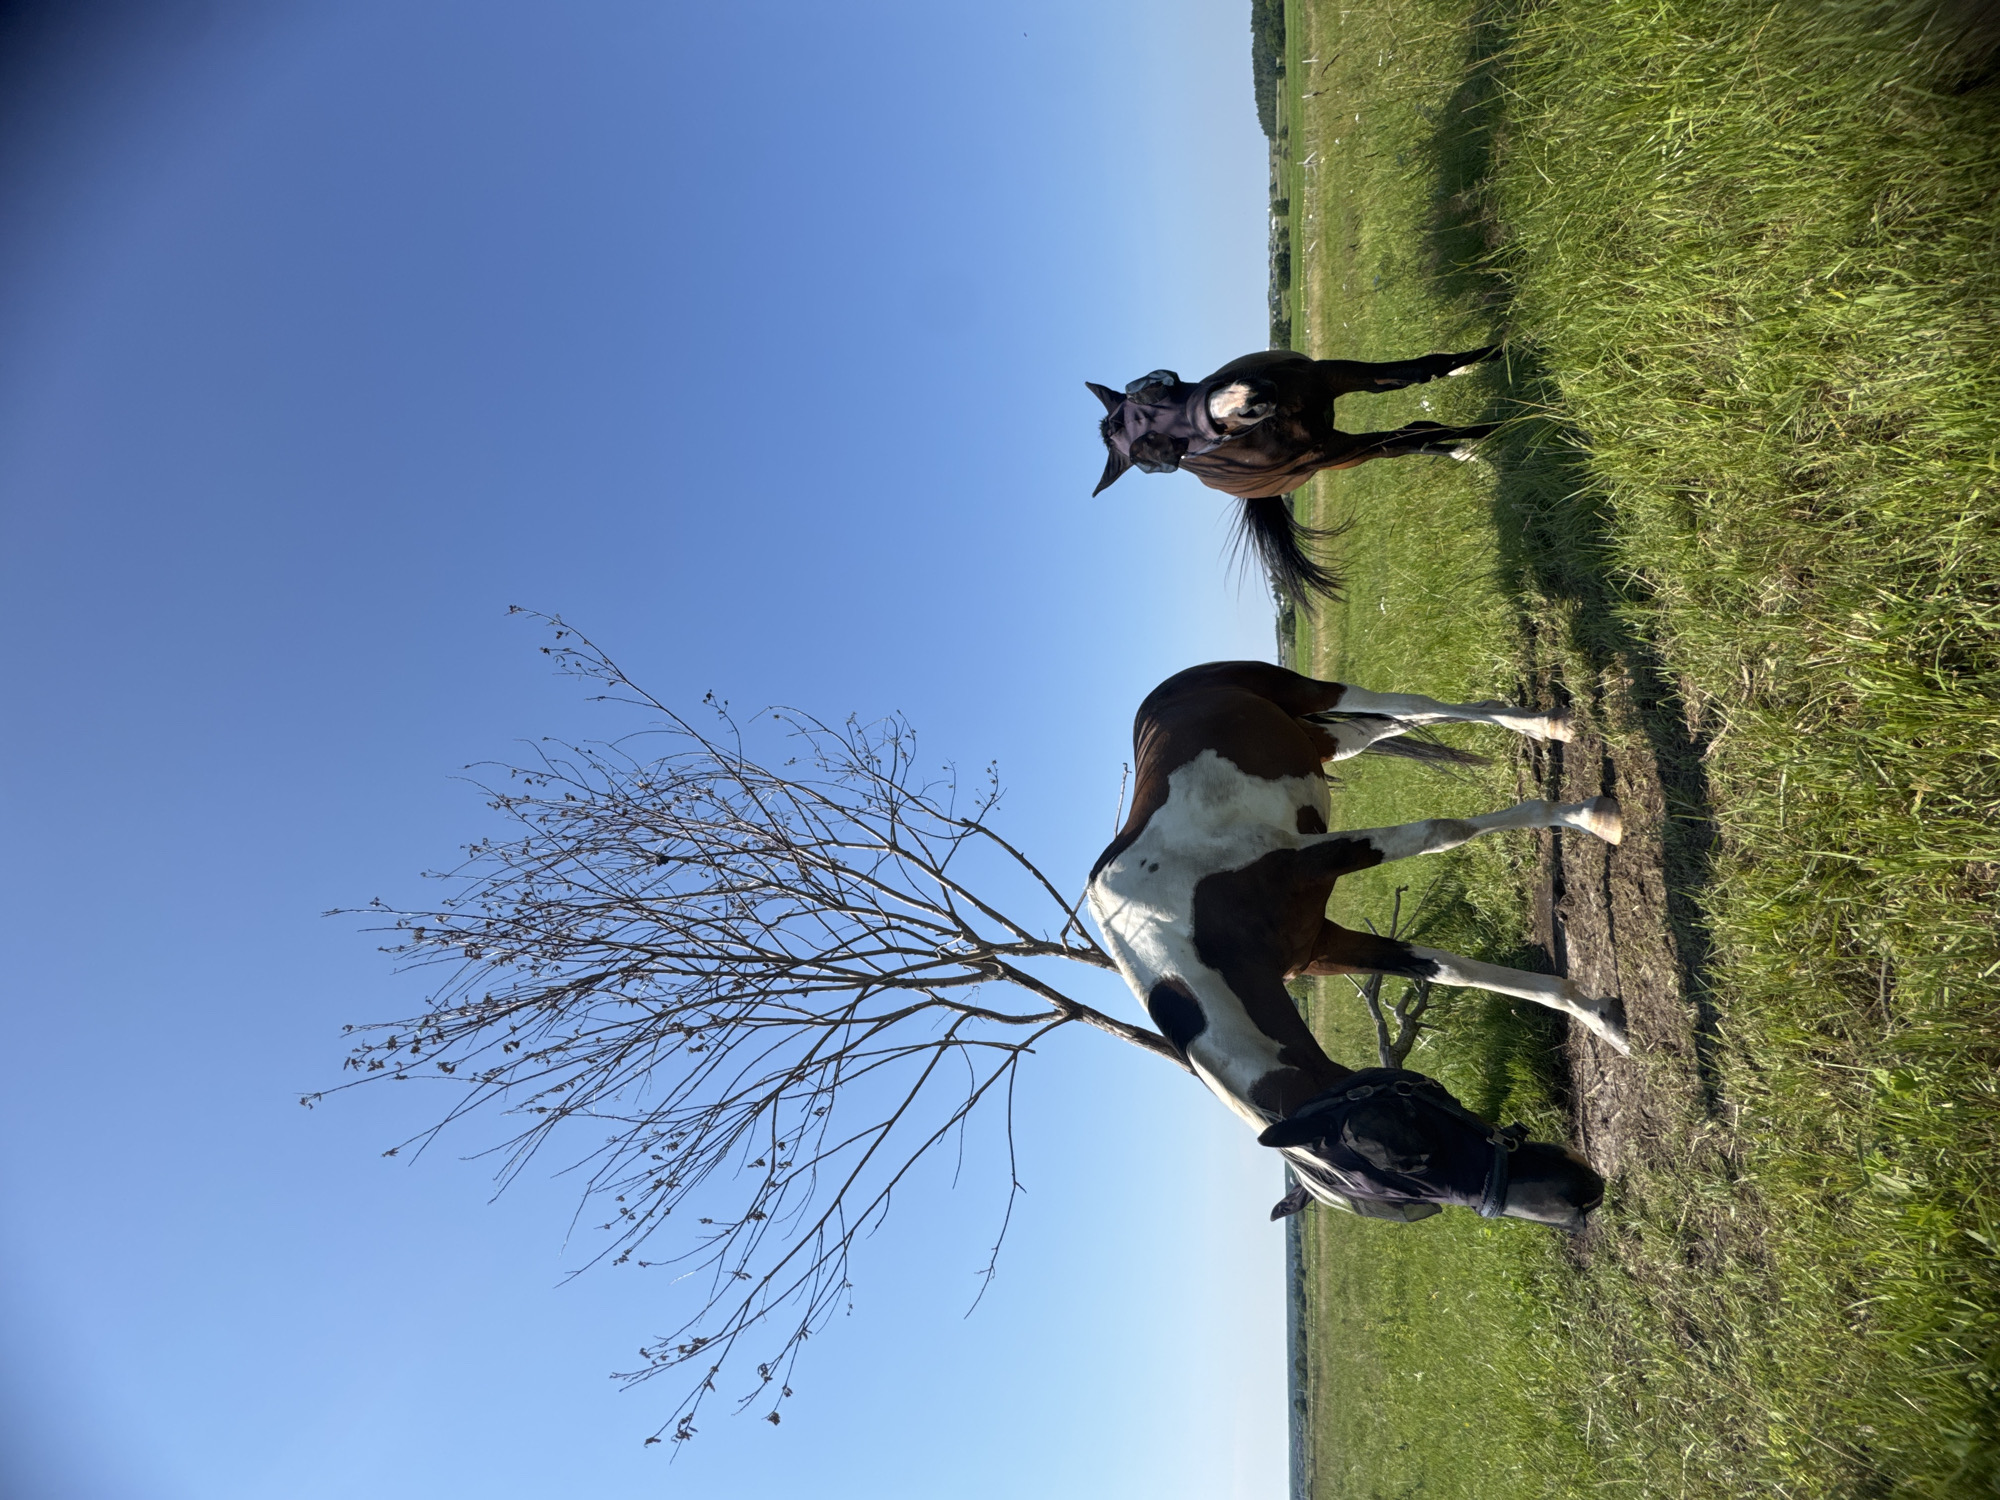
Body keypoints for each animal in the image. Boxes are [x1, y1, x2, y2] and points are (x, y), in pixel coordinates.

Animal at [1086, 661, 1624, 1229]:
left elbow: (1443, 830)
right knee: (1384, 726)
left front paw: (1587, 817)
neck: (1173, 925)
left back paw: (1547, 726)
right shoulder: (1323, 948)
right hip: (1323, 741)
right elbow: (1448, 971)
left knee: (1407, 705)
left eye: (1404, 1145)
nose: (1579, 1200)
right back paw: (1534, 724)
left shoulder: (1316, 858)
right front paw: (1596, 1014)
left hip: (1310, 696)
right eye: (1408, 1198)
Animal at [1087, 346, 1502, 599]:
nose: (1250, 400)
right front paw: (1492, 432)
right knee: (1413, 436)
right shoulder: (1336, 449)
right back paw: (1463, 449)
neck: (1275, 423)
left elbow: (1423, 368)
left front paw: (1499, 351)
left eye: (1158, 385)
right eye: (1163, 456)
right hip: (1342, 458)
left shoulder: (1330, 375)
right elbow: (1412, 435)